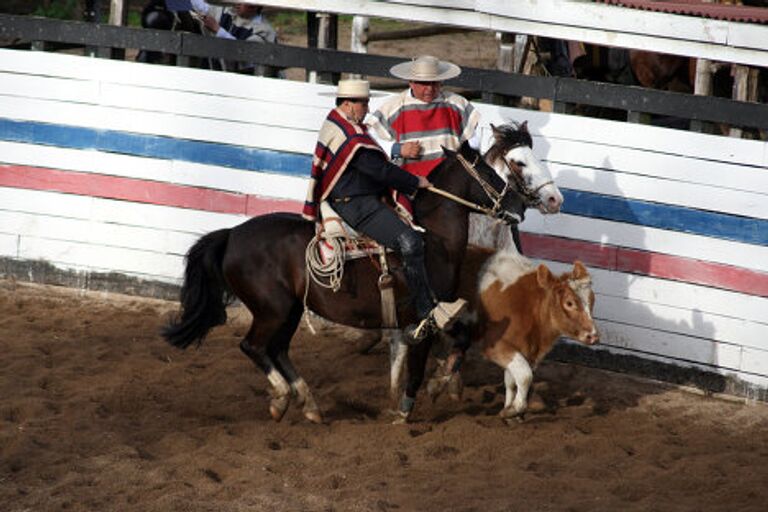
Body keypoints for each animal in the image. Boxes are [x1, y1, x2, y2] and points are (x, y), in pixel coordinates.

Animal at [164, 132, 528, 424]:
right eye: (488, 172)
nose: (519, 206)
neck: (432, 241)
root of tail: (232, 235)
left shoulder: (439, 314)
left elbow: (460, 340)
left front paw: (440, 385)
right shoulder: (422, 317)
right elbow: (418, 366)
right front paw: (408, 407)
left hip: (290, 310)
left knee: (278, 349)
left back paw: (308, 404)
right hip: (272, 310)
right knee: (253, 346)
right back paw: (282, 398)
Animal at [474, 250, 600, 418]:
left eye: (592, 300)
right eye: (569, 303)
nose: (593, 336)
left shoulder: (519, 349)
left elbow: (511, 380)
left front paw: (508, 408)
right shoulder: (495, 346)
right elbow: (525, 375)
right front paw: (515, 408)